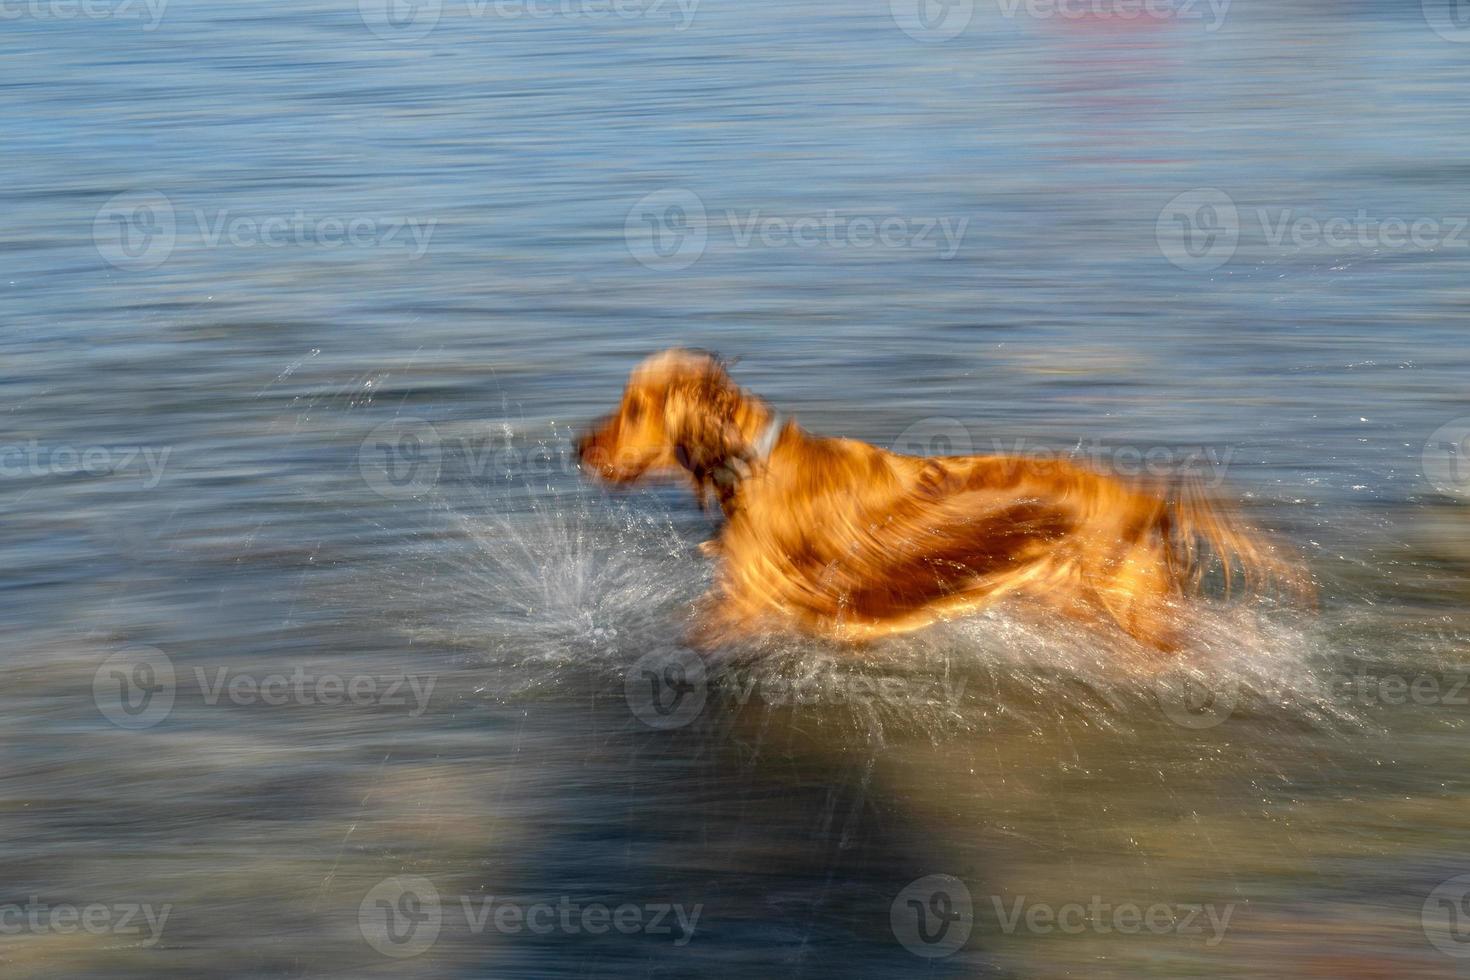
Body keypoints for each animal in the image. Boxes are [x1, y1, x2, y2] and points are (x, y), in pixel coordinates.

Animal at [573, 346, 1299, 652]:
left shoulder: (746, 598)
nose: (578, 449)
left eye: (634, 408)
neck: (756, 465)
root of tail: (1151, 496)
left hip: (1125, 604)